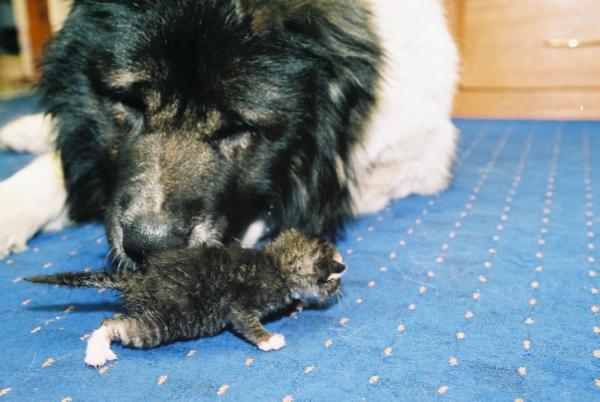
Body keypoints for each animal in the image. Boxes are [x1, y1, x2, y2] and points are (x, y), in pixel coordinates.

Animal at [25, 229, 344, 368]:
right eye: (334, 282)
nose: (340, 291)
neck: (275, 263)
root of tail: (137, 277)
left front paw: (299, 303)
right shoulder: (240, 306)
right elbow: (247, 324)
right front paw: (269, 339)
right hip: (161, 322)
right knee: (109, 324)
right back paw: (96, 353)